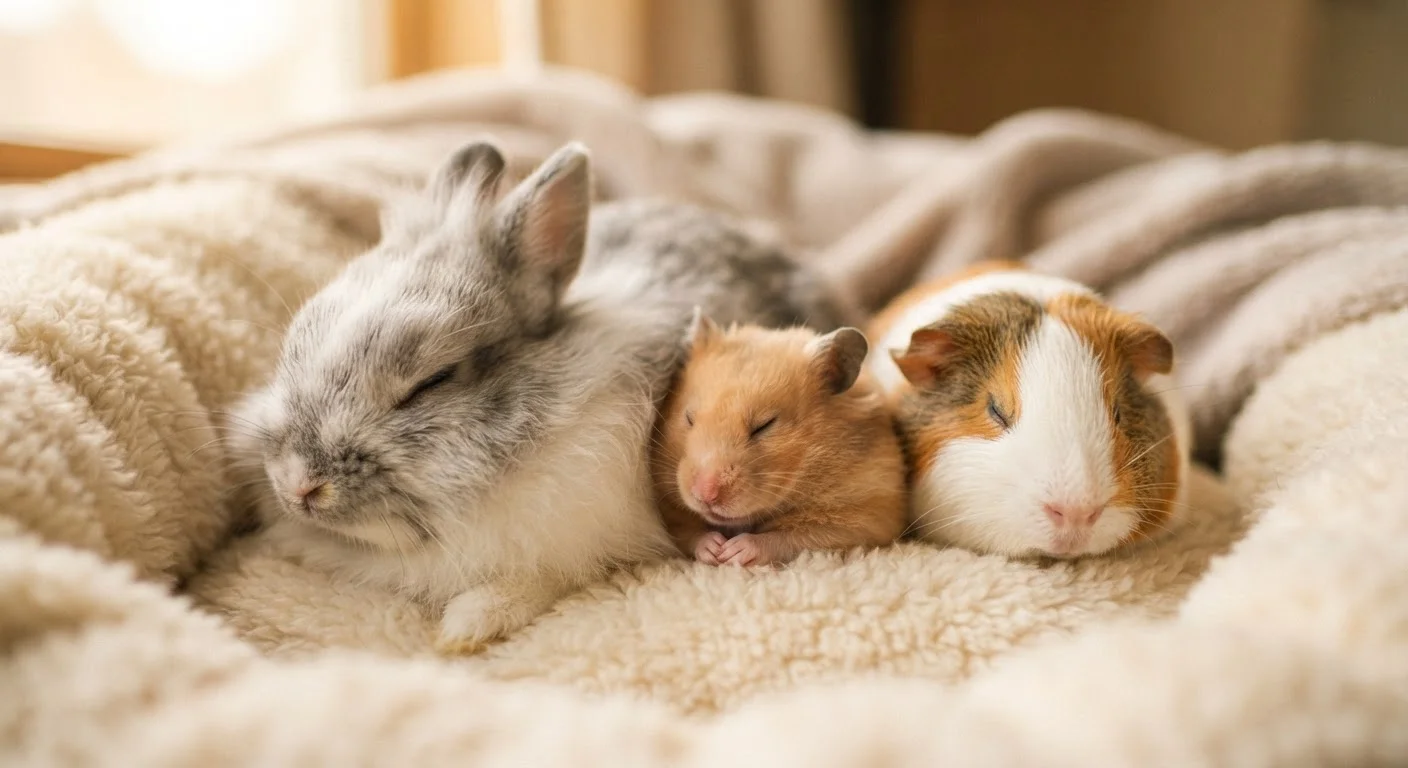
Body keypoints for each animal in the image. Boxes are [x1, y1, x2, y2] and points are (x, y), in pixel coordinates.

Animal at [228, 140, 855, 654]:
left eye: (432, 381)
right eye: (292, 345)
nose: (298, 485)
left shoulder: (580, 539)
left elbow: (534, 580)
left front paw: (466, 627)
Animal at [652, 313, 908, 567]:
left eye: (765, 425)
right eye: (689, 418)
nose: (705, 496)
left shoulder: (867, 519)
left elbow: (791, 538)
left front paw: (734, 552)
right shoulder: (669, 515)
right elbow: (688, 533)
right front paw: (714, 549)